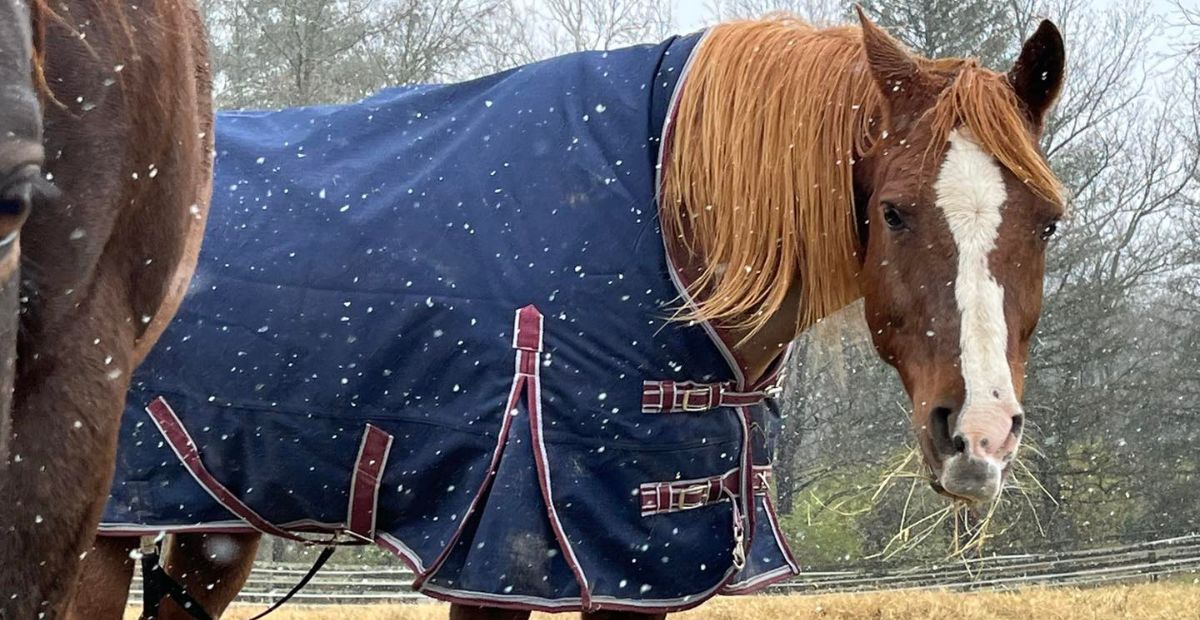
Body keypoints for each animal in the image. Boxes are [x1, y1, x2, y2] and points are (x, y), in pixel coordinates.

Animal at [73, 9, 1065, 620]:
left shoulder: (647, 573)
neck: (670, 223)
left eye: (1048, 219)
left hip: (208, 530)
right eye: (893, 211)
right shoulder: (506, 564)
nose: (979, 436)